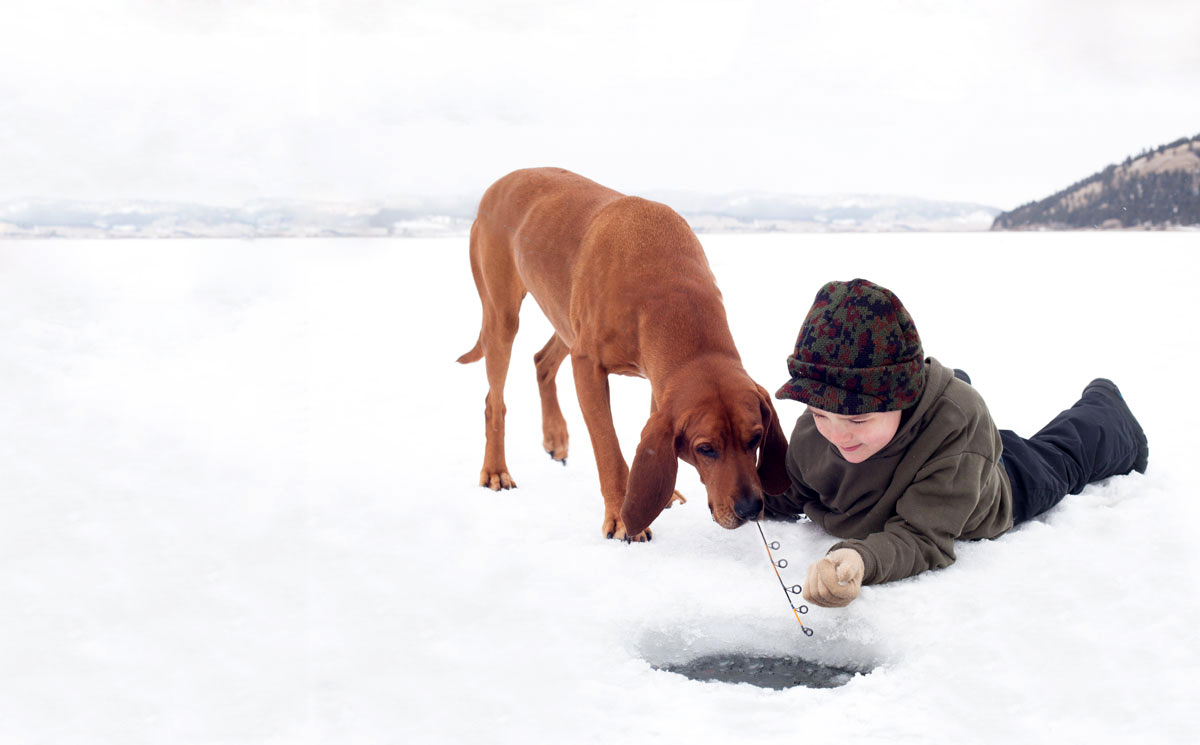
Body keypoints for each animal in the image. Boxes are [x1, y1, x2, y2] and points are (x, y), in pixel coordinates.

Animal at [456, 167, 787, 539]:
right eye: (706, 449)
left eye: (756, 438)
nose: (751, 508)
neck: (671, 291)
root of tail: (499, 182)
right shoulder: (588, 366)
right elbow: (608, 448)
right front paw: (621, 516)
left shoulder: (660, 379)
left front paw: (659, 493)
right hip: (503, 317)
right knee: (494, 400)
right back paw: (495, 470)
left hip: (564, 317)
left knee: (541, 360)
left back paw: (555, 436)